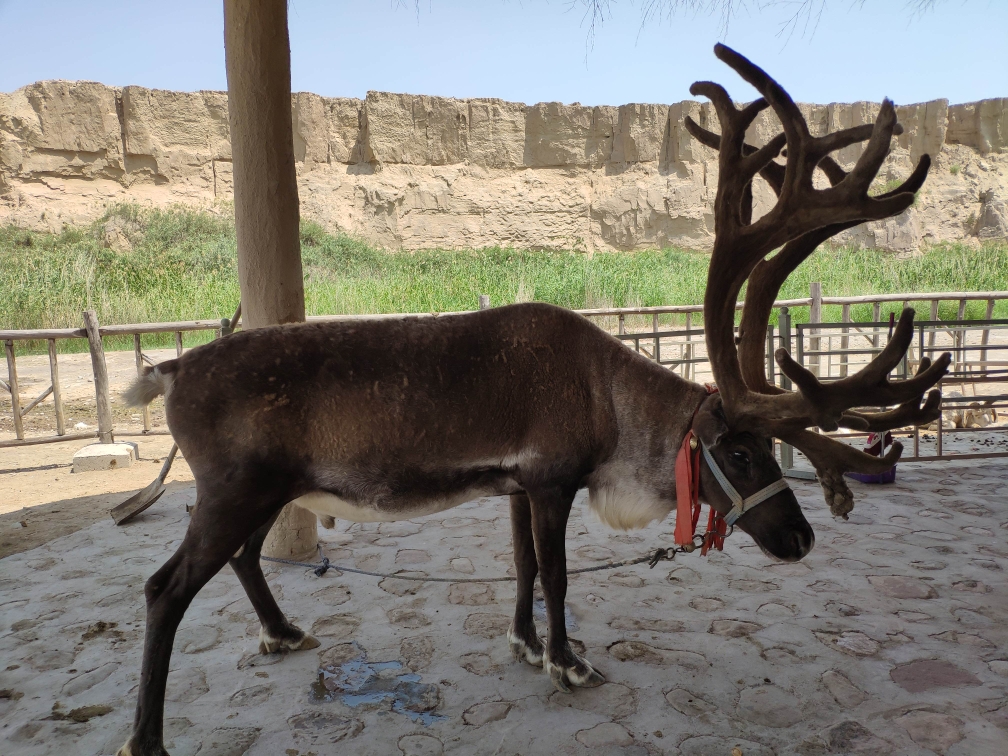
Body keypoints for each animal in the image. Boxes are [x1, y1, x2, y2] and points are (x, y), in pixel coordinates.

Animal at [116, 44, 949, 756]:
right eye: (740, 452)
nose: (801, 539)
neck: (609, 403)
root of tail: (172, 368)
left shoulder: (515, 485)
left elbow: (520, 566)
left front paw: (523, 644)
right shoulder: (553, 480)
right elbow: (557, 574)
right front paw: (568, 661)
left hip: (265, 490)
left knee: (242, 556)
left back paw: (283, 631)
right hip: (235, 489)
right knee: (164, 587)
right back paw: (148, 735)